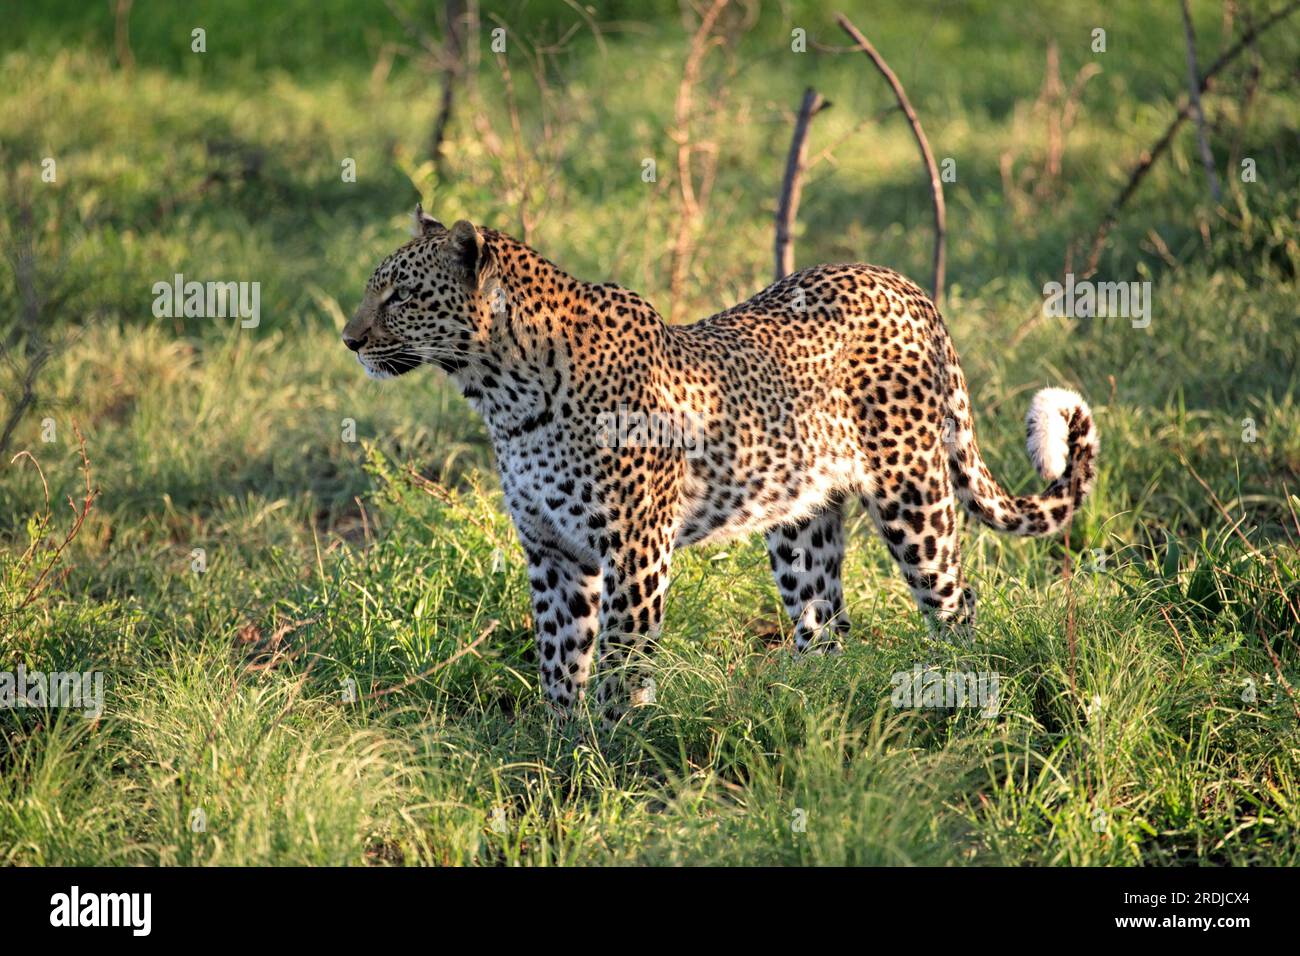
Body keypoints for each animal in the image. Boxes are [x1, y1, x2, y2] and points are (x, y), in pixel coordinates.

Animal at [343, 209, 1097, 717]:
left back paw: (961, 692)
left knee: (957, 603)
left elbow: (620, 660)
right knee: (828, 625)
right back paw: (811, 708)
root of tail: (904, 283)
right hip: (801, 527)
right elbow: (559, 660)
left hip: (914, 497)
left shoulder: (634, 549)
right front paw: (557, 749)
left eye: (401, 296)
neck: (502, 393)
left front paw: (613, 753)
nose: (347, 340)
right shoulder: (552, 552)